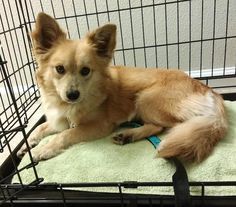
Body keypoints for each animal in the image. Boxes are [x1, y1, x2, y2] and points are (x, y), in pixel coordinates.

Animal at [17, 12, 228, 163]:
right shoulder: (59, 119)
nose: (72, 95)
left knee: (171, 127)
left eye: (85, 71)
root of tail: (209, 91)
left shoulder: (99, 125)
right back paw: (128, 135)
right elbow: (43, 126)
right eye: (59, 69)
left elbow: (65, 134)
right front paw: (28, 143)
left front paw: (42, 150)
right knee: (157, 126)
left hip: (146, 98)